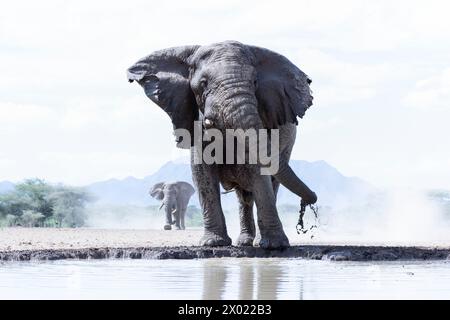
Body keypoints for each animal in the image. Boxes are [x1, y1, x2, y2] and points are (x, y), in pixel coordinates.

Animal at [126, 40, 316, 250]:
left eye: (255, 83)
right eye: (203, 84)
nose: (311, 199)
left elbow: (258, 169)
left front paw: (275, 246)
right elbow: (202, 172)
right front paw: (213, 243)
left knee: (265, 185)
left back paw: (257, 242)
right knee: (244, 196)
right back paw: (245, 242)